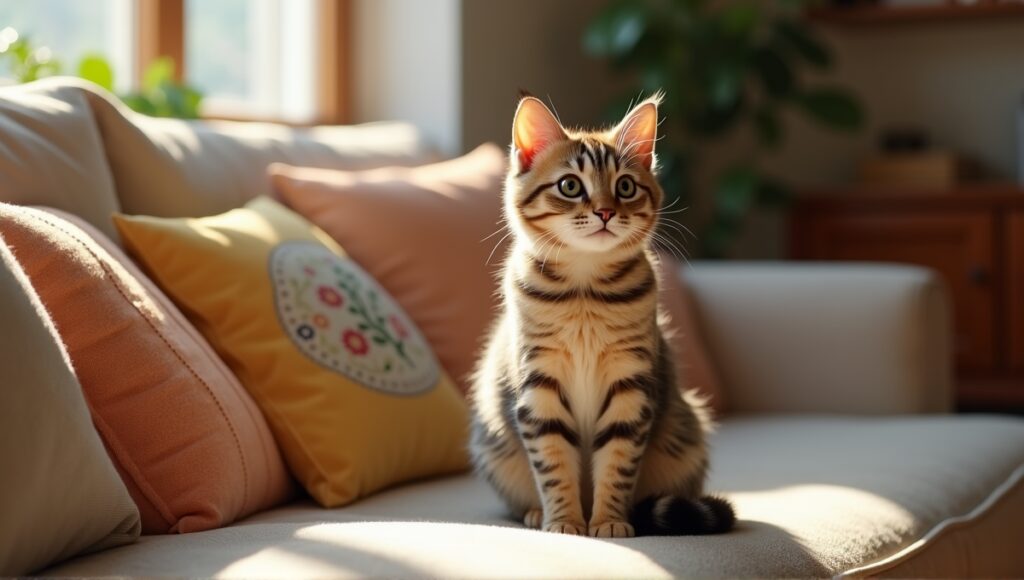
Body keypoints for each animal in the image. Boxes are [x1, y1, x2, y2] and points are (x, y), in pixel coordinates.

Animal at [468, 95, 733, 541]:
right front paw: (564, 521)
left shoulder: (629, 385)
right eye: (570, 186)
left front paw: (609, 520)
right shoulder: (539, 383)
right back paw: (536, 513)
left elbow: (617, 463)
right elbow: (553, 463)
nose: (606, 212)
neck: (584, 291)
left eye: (625, 186)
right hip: (494, 446)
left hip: (686, 433)